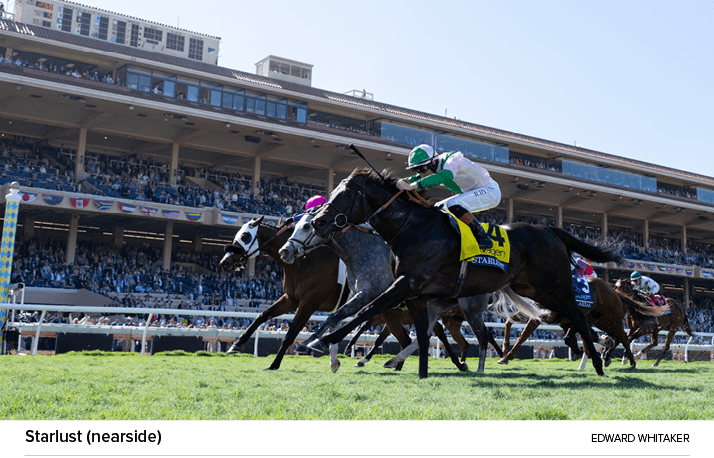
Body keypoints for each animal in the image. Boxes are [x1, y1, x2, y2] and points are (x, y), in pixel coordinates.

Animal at [218, 216, 350, 370]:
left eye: (245, 236)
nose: (224, 262)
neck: (306, 261)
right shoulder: (291, 299)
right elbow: (262, 315)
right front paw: (235, 345)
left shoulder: (309, 303)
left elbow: (290, 334)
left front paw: (274, 364)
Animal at [276, 210, 500, 372]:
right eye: (295, 226)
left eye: (307, 226)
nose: (284, 251)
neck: (363, 253)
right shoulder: (357, 297)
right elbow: (338, 321)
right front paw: (332, 358)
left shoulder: (368, 295)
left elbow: (335, 319)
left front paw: (309, 343)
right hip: (439, 306)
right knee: (428, 334)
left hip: (469, 307)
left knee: (481, 334)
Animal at [308, 169, 620, 380]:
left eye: (347, 194)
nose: (317, 222)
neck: (412, 229)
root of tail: (550, 230)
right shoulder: (416, 292)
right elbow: (420, 334)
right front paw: (421, 372)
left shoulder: (406, 283)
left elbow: (367, 310)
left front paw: (323, 341)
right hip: (532, 289)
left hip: (553, 287)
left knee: (578, 317)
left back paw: (597, 363)